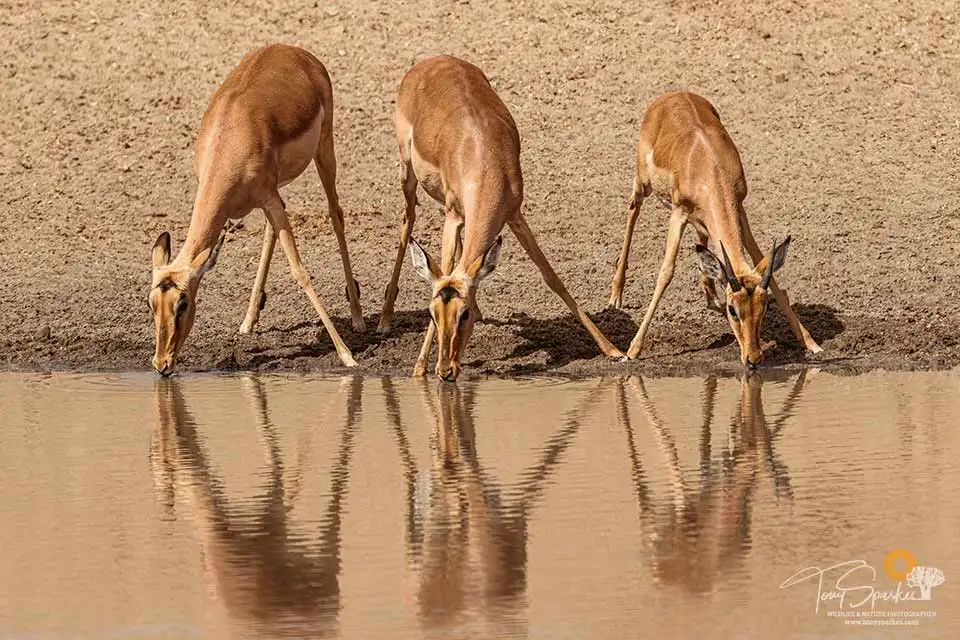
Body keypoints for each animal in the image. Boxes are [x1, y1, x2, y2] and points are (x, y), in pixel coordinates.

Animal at [149, 44, 363, 376]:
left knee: (335, 214)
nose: (162, 364)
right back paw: (249, 321)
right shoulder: (266, 199)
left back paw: (357, 317)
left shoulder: (269, 197)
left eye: (182, 303)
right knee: (271, 232)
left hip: (324, 152)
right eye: (151, 303)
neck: (229, 139)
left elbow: (300, 271)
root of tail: (295, 51)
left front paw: (346, 355)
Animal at [376, 55, 624, 380]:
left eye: (463, 313)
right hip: (408, 173)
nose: (445, 371)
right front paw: (419, 367)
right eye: (431, 314)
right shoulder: (453, 216)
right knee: (408, 221)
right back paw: (384, 320)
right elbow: (443, 270)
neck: (481, 157)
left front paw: (613, 350)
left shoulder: (514, 213)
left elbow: (551, 277)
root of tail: (432, 61)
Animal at [608, 91, 823, 368]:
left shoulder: (739, 210)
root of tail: (672, 94)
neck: (710, 169)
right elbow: (666, 272)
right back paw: (615, 296)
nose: (753, 358)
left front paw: (811, 343)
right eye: (734, 310)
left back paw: (710, 293)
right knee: (633, 209)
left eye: (763, 307)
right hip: (643, 184)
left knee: (703, 239)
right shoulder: (679, 213)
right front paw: (633, 349)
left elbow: (764, 265)